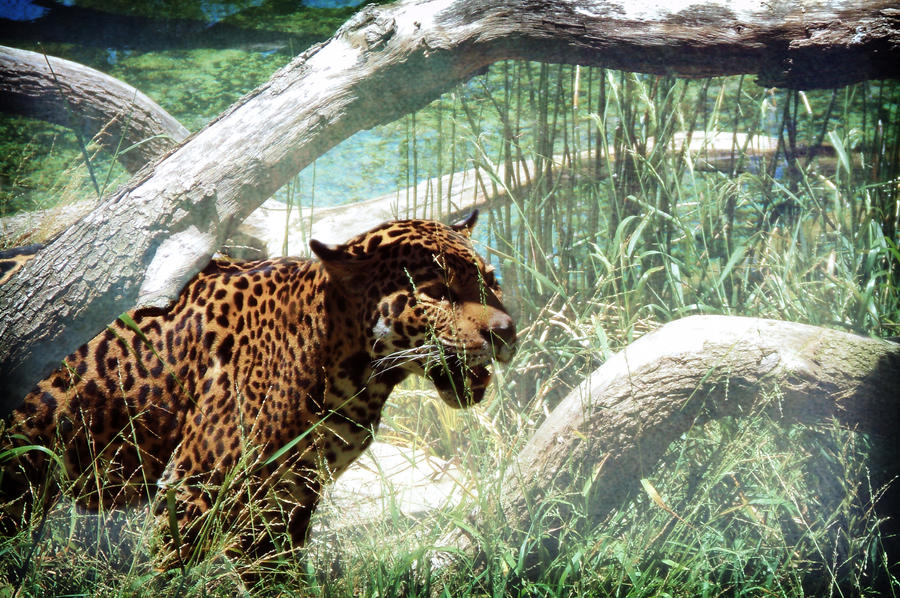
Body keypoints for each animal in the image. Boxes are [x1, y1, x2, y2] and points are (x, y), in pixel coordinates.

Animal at [0, 211, 516, 569]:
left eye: (490, 281)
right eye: (436, 293)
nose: (505, 332)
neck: (354, 377)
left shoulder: (289, 498)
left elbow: (280, 577)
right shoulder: (195, 485)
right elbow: (169, 573)